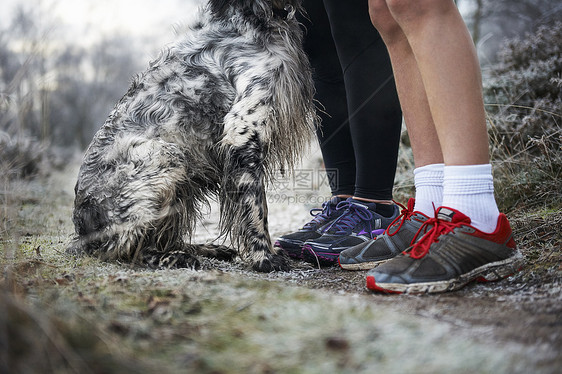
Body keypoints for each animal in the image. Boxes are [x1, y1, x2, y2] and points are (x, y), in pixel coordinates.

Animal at [69, 0, 316, 272]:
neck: (252, 17)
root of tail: (82, 231)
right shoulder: (243, 132)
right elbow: (257, 205)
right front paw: (264, 257)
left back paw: (206, 248)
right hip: (167, 158)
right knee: (129, 248)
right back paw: (175, 257)